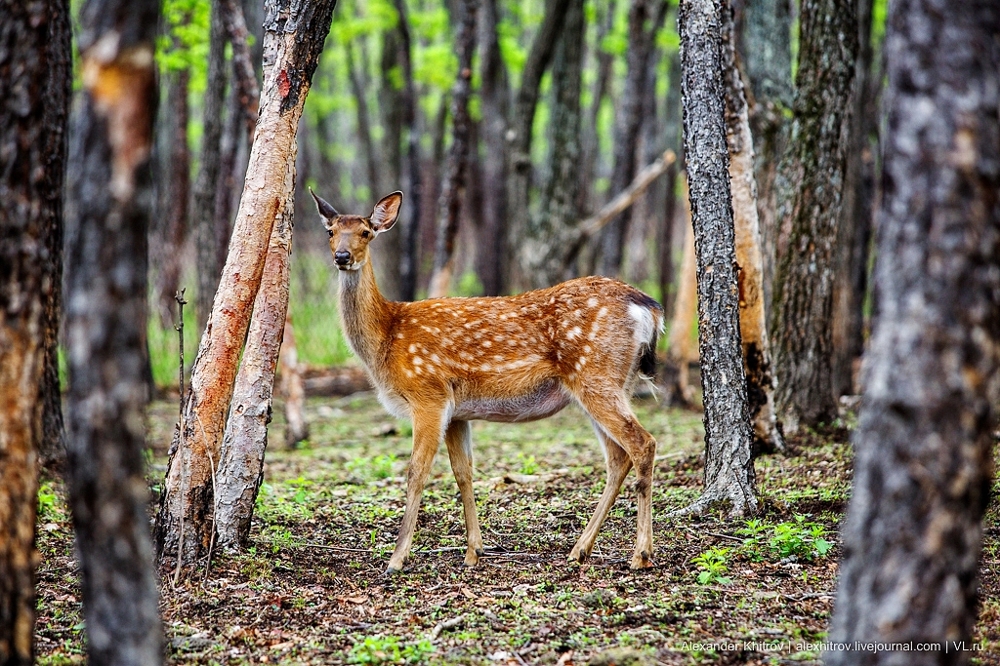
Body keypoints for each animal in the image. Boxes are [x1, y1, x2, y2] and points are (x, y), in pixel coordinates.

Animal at [314, 189, 664, 568]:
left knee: (642, 443)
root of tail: (647, 307)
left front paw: (397, 559)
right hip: (611, 382)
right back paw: (579, 549)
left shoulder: (428, 394)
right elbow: (463, 472)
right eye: (330, 231)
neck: (386, 340)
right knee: (617, 457)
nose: (342, 256)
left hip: (596, 374)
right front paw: (474, 552)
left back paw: (641, 554)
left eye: (365, 232)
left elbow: (416, 472)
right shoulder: (456, 411)